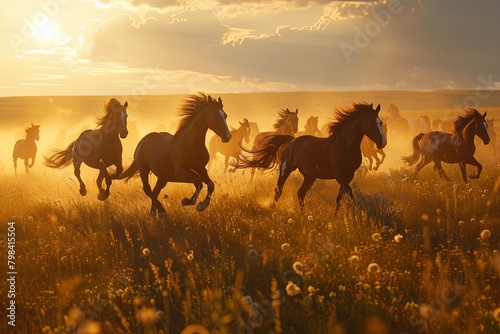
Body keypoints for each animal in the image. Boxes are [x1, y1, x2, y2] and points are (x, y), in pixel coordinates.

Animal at [234, 103, 386, 210]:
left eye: (381, 122)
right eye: (371, 122)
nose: (382, 142)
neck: (344, 144)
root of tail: (292, 141)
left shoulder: (348, 175)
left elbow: (340, 197)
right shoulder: (339, 174)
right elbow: (350, 193)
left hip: (309, 175)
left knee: (300, 193)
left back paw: (303, 215)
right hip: (285, 169)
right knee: (278, 190)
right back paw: (273, 208)